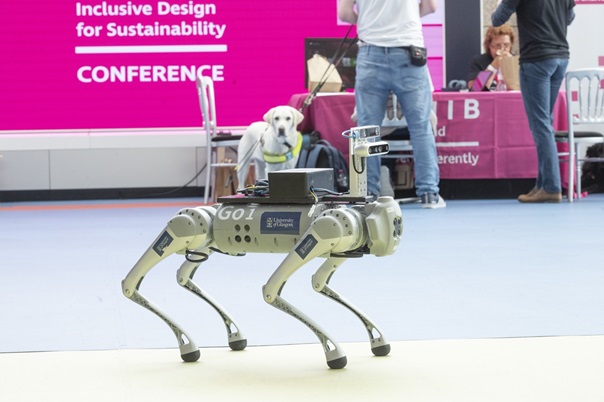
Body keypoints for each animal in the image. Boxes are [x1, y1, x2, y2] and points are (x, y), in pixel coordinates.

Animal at [122, 125, 402, 368]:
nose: (397, 226)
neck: (359, 218)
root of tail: (210, 211)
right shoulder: (326, 229)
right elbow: (271, 290)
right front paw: (334, 353)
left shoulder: (334, 248)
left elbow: (318, 282)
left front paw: (378, 341)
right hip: (189, 224)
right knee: (130, 283)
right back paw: (187, 345)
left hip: (204, 241)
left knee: (182, 275)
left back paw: (230, 336)